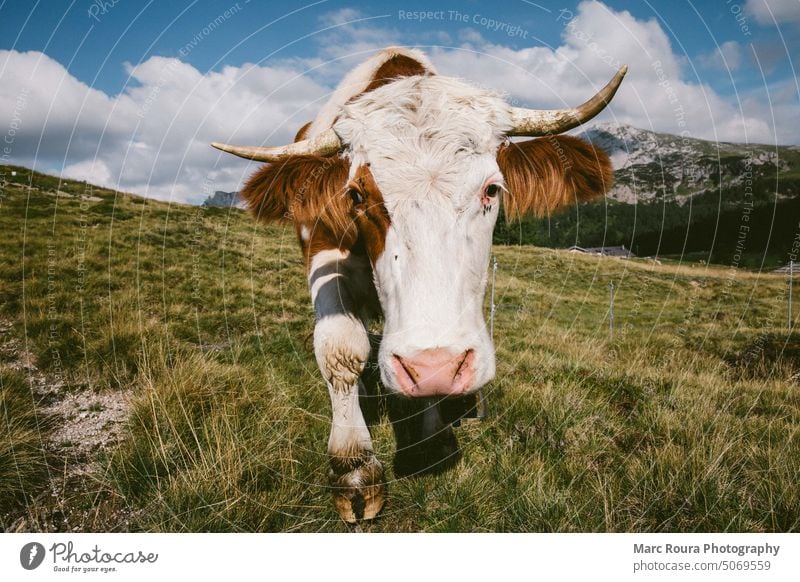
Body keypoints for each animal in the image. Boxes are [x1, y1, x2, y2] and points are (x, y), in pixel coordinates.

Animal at [212, 46, 624, 524]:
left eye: (492, 189)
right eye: (356, 195)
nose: (434, 366)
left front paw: (431, 437)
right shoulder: (322, 255)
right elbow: (340, 348)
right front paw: (353, 468)